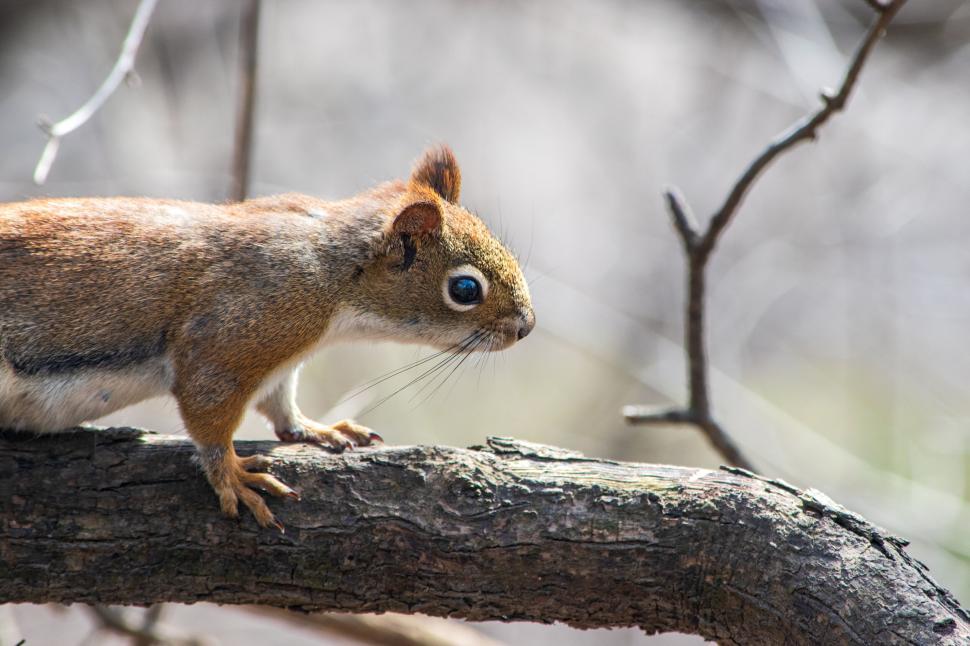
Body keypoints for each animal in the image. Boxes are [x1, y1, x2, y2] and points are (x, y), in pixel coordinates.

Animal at [0, 145, 535, 530]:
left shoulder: (280, 362)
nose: (526, 326)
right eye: (465, 289)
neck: (333, 275)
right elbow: (209, 414)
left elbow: (280, 405)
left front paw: (319, 428)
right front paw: (234, 476)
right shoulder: (234, 334)